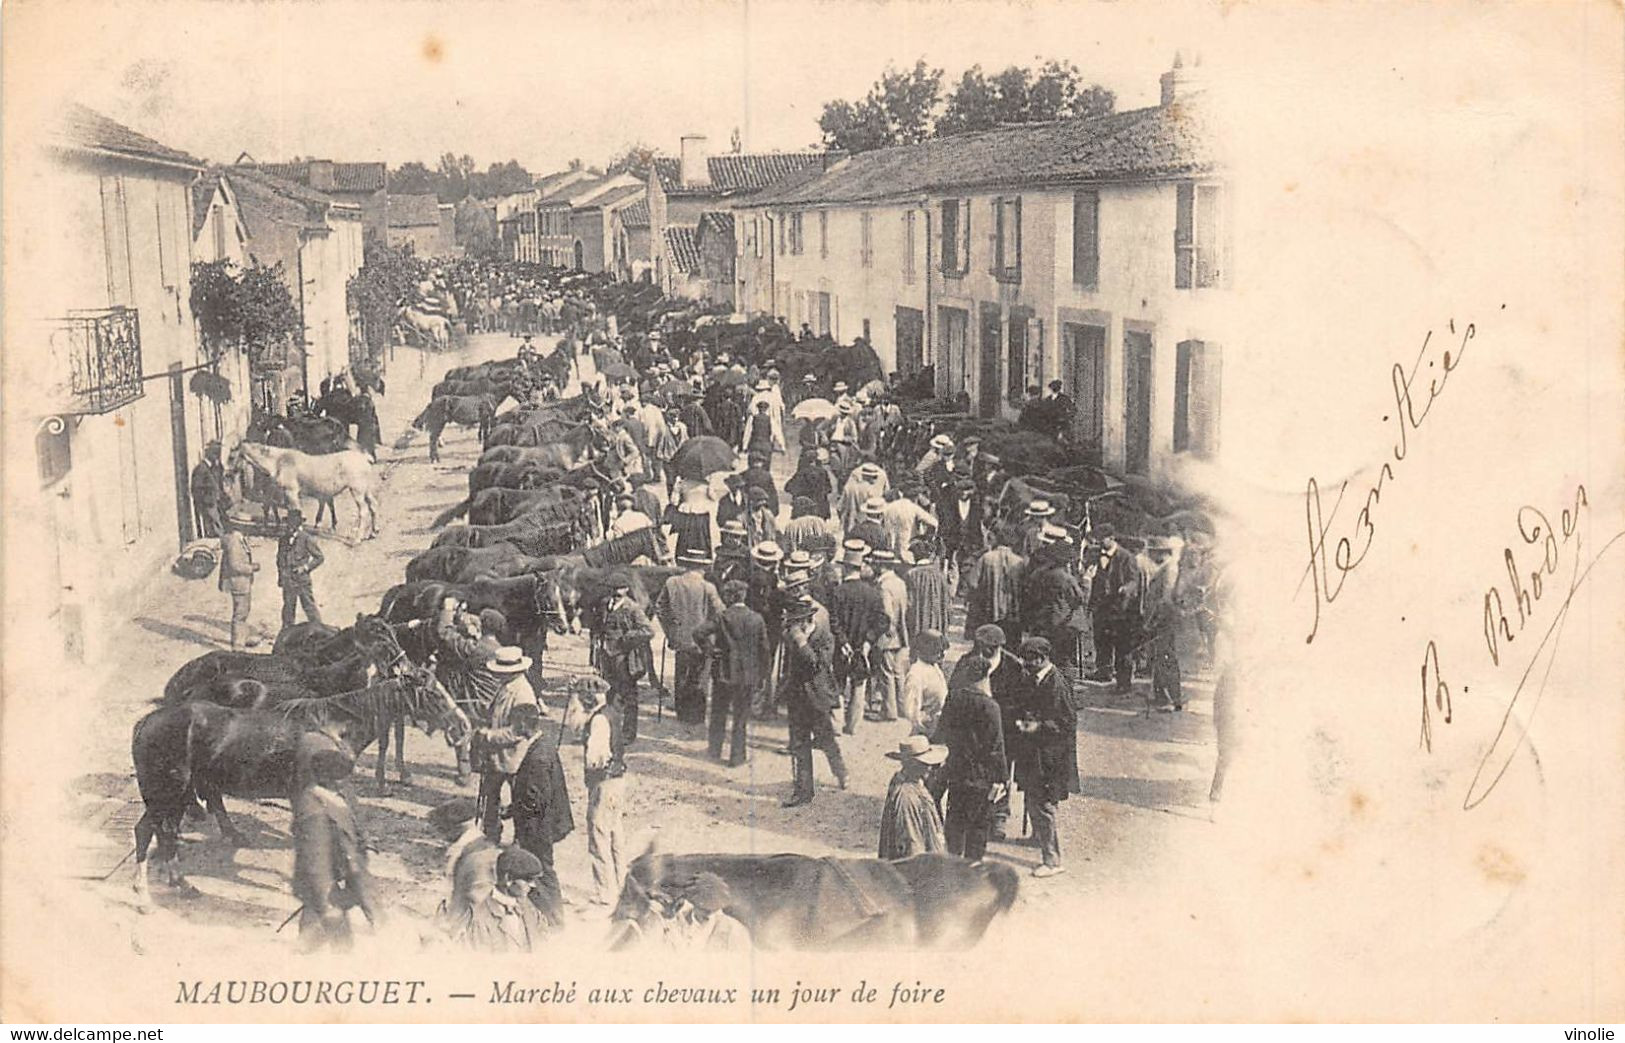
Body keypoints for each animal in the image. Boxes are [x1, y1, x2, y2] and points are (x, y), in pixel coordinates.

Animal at [130, 666, 468, 903]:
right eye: (434, 694)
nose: (462, 726)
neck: (334, 727)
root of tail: (146, 723)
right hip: (169, 793)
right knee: (150, 831)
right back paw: (150, 891)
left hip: (174, 794)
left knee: (162, 832)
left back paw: (179, 882)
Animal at [232, 438, 380, 536]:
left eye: (233, 455)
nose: (230, 472)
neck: (278, 461)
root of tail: (365, 458)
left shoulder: (291, 492)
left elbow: (294, 510)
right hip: (367, 490)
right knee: (373, 506)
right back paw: (374, 532)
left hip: (357, 491)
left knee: (363, 511)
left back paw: (357, 539)